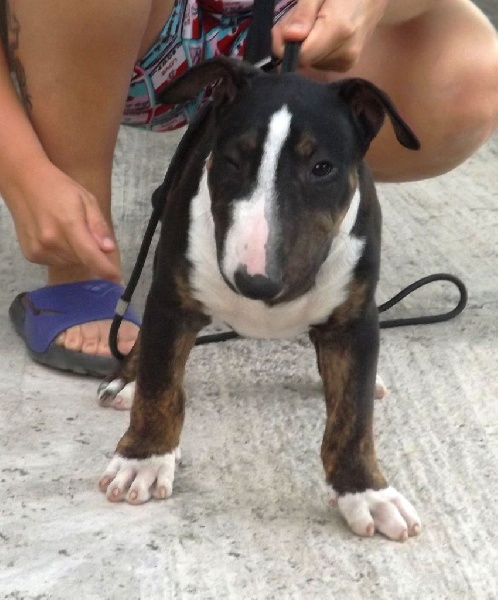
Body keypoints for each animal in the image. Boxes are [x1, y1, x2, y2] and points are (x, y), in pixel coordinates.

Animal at [98, 57, 421, 541]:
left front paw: (366, 492)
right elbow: (160, 385)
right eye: (232, 160)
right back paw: (127, 380)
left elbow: (353, 416)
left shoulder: (356, 321)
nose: (254, 282)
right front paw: (145, 459)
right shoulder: (172, 299)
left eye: (322, 167)